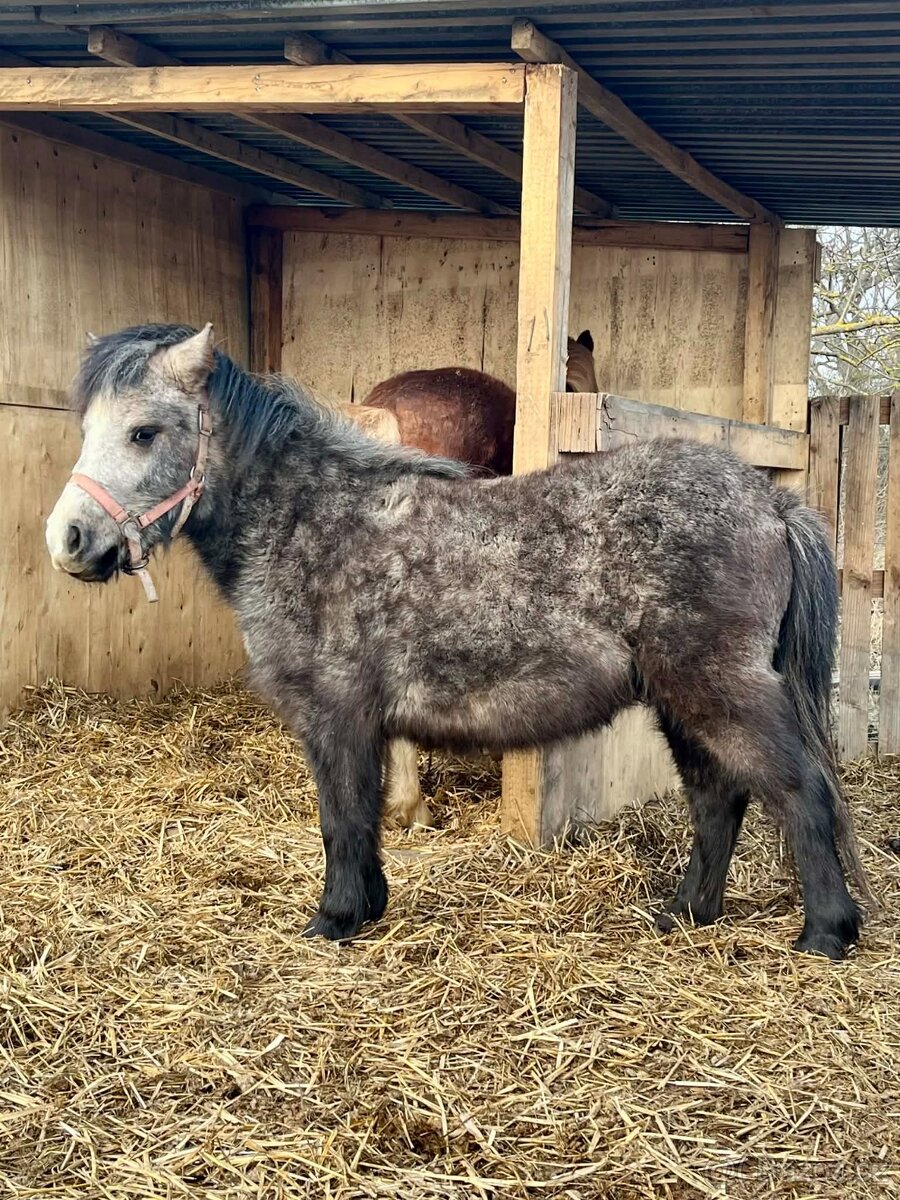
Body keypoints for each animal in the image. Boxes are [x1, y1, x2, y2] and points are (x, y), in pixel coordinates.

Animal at [46, 323, 867, 960]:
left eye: (144, 431)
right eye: (86, 431)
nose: (69, 541)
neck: (310, 519)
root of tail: (771, 500)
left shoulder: (334, 714)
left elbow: (342, 817)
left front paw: (335, 919)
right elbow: (362, 815)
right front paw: (365, 906)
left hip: (721, 689)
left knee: (801, 790)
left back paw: (827, 934)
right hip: (682, 699)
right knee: (717, 798)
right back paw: (687, 913)